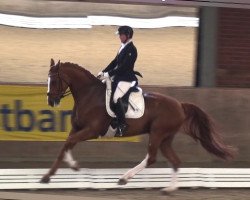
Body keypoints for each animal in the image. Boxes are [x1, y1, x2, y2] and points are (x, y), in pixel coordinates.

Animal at [41, 59, 234, 192]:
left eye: (54, 80)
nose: (51, 101)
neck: (89, 94)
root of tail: (180, 105)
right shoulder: (77, 128)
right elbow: (66, 145)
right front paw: (52, 174)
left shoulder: (91, 131)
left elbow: (69, 142)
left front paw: (60, 171)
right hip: (165, 138)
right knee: (174, 160)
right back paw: (169, 189)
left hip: (157, 133)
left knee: (152, 157)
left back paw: (125, 178)